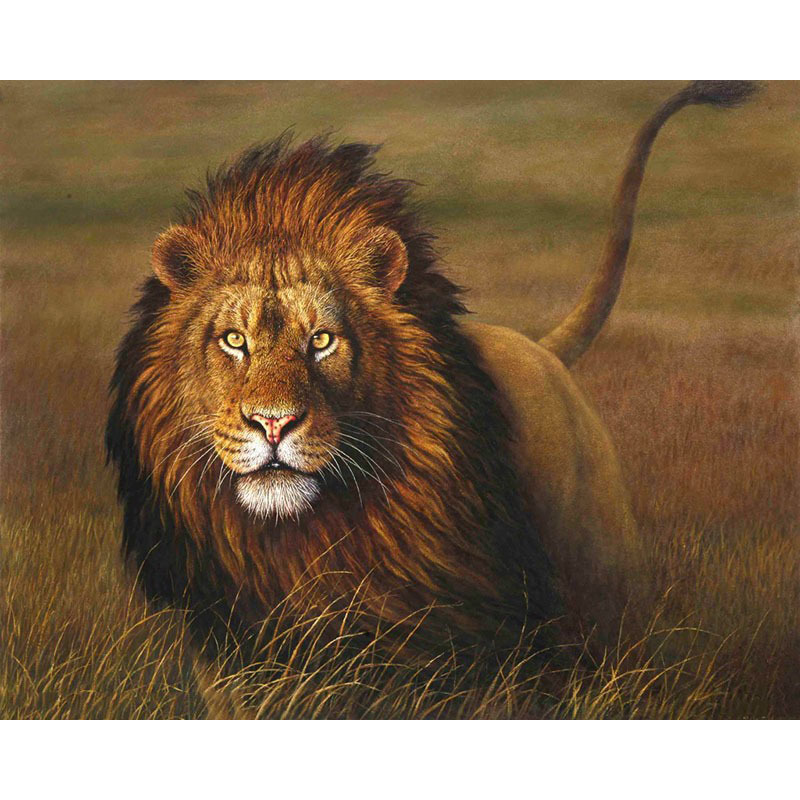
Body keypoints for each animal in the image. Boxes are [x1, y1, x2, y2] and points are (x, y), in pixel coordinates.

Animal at [106, 81, 756, 716]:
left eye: (322, 340)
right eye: (234, 340)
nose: (274, 423)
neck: (300, 544)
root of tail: (537, 344)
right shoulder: (233, 660)